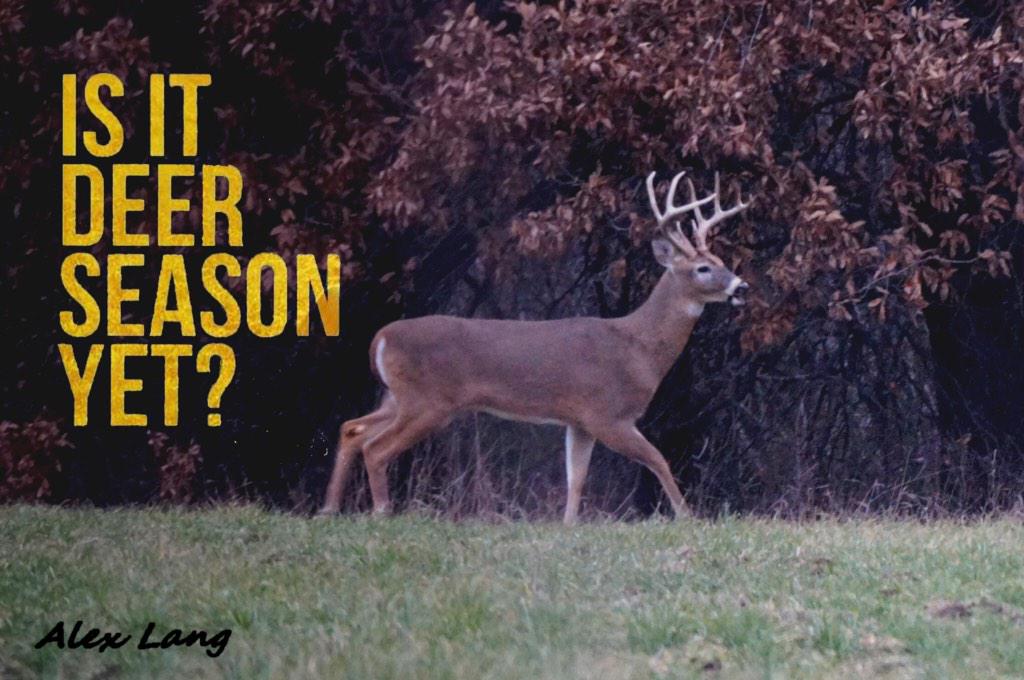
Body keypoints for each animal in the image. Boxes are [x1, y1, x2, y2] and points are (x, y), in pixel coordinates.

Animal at [319, 170, 750, 524]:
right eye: (702, 268)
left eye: (721, 259)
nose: (741, 287)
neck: (639, 349)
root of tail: (381, 337)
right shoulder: (608, 413)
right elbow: (659, 459)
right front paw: (688, 517)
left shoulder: (579, 421)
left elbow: (576, 477)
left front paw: (568, 525)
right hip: (427, 401)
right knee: (376, 447)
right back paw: (380, 511)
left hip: (397, 396)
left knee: (351, 428)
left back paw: (328, 509)